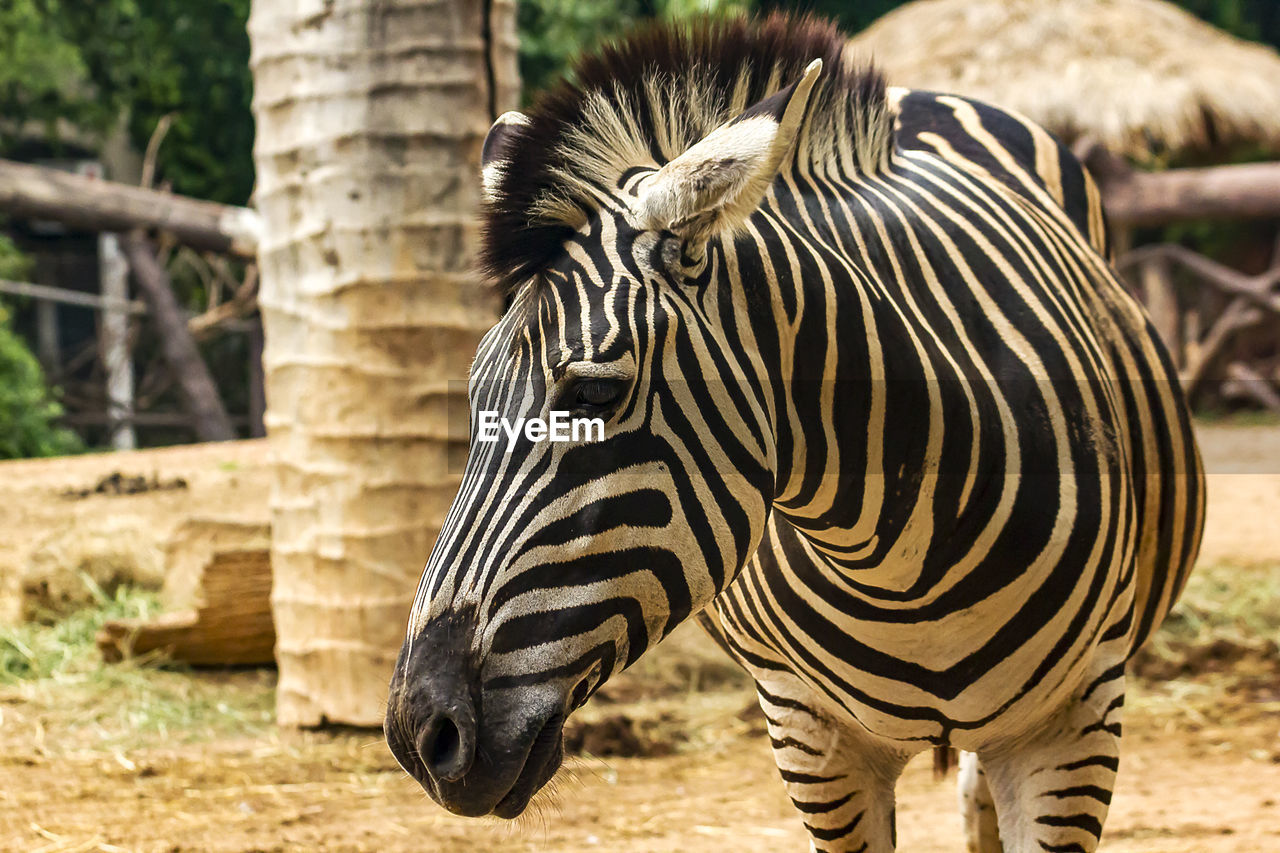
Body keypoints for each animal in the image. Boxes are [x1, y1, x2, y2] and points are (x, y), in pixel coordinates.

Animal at [384, 14, 1203, 850]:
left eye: (593, 391)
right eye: (475, 395)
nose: (421, 735)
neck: (904, 563)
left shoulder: (1072, 725)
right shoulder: (810, 734)